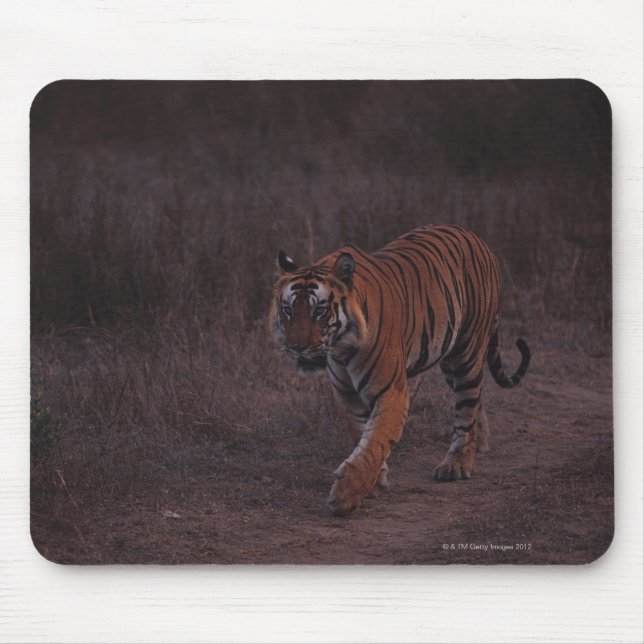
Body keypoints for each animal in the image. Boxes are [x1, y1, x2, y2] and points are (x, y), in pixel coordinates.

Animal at [271, 224, 530, 515]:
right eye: (288, 309)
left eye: (319, 310)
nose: (297, 347)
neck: (341, 348)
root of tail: (476, 237)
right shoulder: (348, 396)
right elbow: (363, 434)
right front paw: (375, 481)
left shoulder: (391, 392)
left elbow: (376, 440)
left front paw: (347, 493)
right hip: (449, 359)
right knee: (476, 400)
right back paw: (480, 445)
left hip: (467, 351)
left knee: (466, 409)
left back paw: (457, 464)